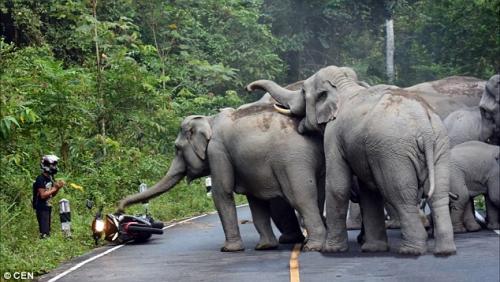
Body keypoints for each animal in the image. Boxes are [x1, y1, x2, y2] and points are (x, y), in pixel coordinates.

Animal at [119, 96, 326, 251]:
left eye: (177, 148)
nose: (119, 209)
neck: (209, 120)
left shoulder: (217, 152)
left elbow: (221, 192)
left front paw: (228, 249)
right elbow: (255, 200)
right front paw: (265, 247)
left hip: (292, 160)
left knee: (300, 197)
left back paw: (313, 246)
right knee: (319, 195)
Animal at [247, 65, 458, 256]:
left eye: (303, 91)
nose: (249, 87)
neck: (344, 86)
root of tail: (424, 124)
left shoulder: (333, 135)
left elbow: (338, 186)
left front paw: (331, 249)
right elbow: (368, 192)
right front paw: (373, 249)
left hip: (394, 153)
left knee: (400, 195)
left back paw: (410, 250)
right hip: (440, 146)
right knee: (438, 194)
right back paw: (445, 250)